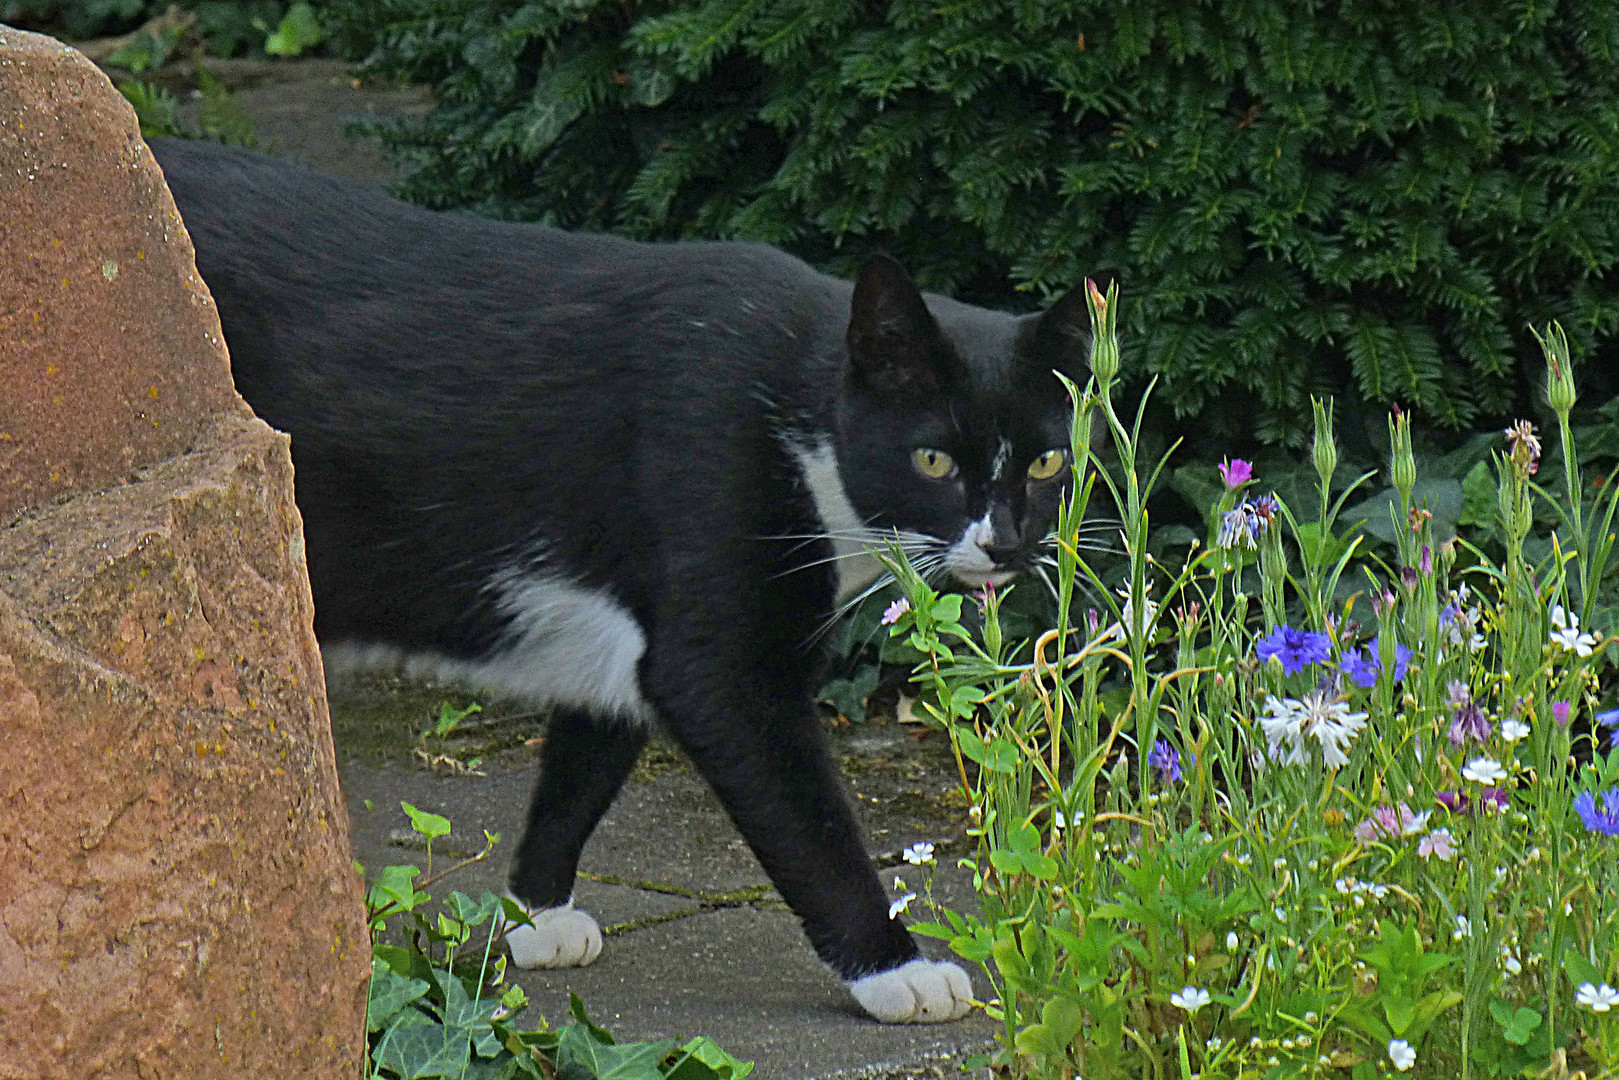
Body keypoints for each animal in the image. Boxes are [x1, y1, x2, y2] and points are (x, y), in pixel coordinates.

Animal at [152, 139, 1094, 1029]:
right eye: (932, 459)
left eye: (1047, 461)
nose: (1004, 542)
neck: (799, 418)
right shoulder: (716, 635)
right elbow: (807, 819)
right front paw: (895, 969)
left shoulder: (622, 633)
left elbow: (586, 758)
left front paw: (533, 914)